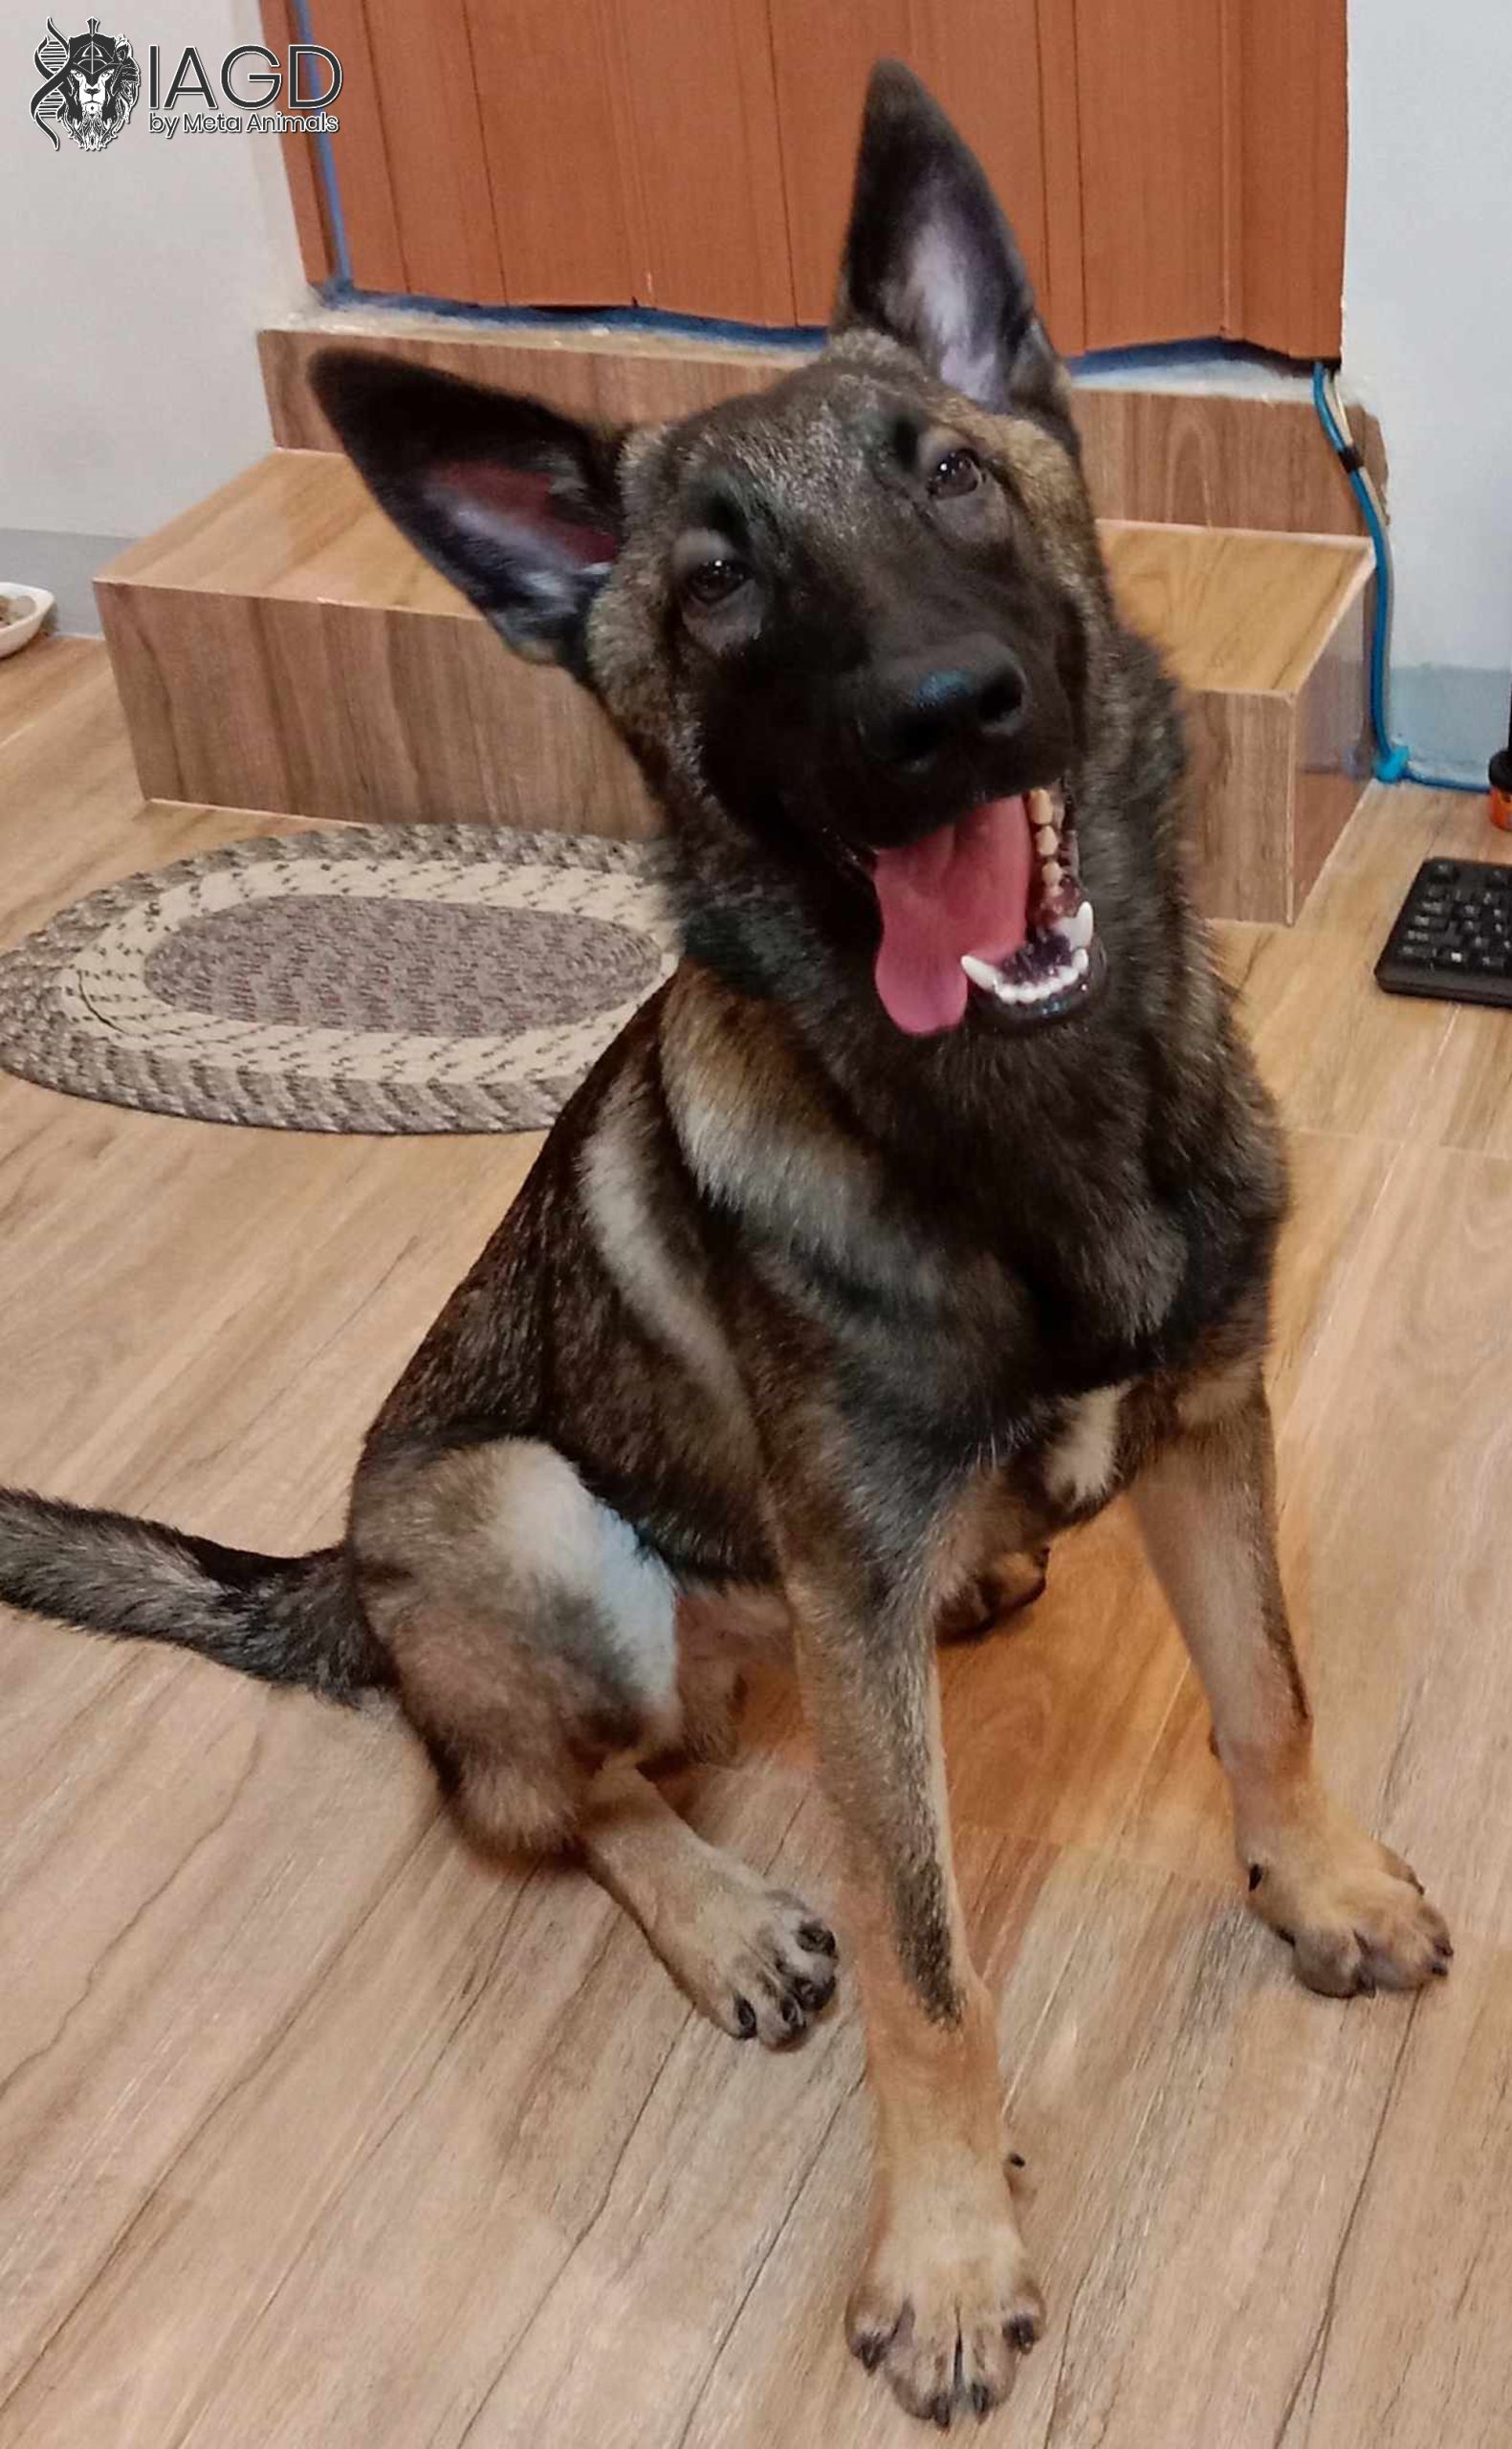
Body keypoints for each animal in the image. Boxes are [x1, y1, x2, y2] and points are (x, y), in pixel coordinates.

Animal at [0, 62, 1450, 2429]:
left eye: (951, 474)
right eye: (713, 590)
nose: (946, 709)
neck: (1025, 1120)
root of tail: (346, 1573)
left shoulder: (1209, 1420)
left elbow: (1267, 1688)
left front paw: (1313, 1875)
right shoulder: (858, 1613)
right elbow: (930, 1962)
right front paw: (948, 2251)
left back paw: (981, 1579)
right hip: (522, 1514)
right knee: (545, 1788)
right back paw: (716, 1901)